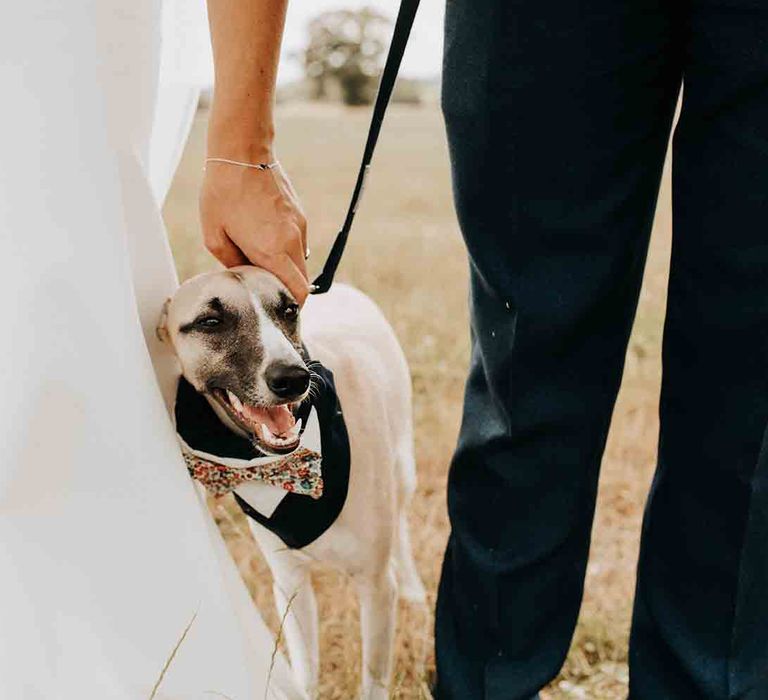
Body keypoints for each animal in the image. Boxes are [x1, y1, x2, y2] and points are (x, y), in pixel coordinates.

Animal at [158, 266, 424, 696]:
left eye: (288, 310)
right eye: (211, 321)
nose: (292, 379)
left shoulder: (376, 586)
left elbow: (373, 681)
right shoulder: (289, 584)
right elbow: (305, 667)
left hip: (404, 466)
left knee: (400, 522)